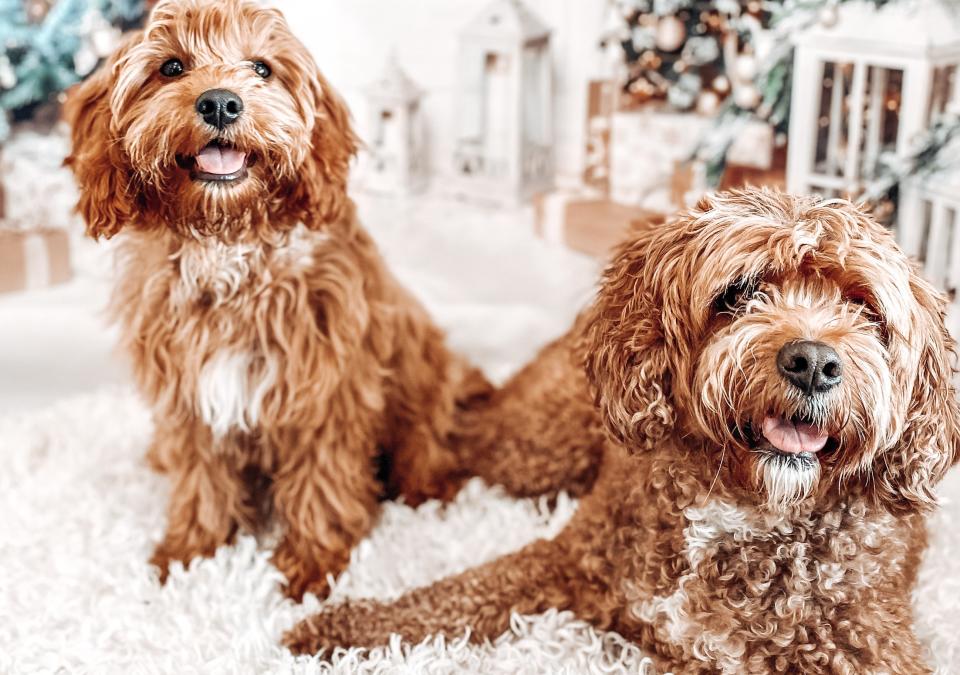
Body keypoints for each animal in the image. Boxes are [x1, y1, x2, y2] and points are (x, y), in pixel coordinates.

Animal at [64, 0, 488, 604]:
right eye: (171, 67)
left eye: (261, 68)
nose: (220, 101)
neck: (229, 247)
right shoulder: (188, 395)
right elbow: (199, 476)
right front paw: (191, 551)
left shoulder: (325, 390)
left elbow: (320, 482)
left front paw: (310, 565)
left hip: (421, 380)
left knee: (425, 444)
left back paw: (430, 486)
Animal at [286, 191, 960, 675]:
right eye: (740, 291)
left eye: (865, 309)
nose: (814, 362)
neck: (739, 509)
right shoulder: (564, 561)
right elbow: (450, 596)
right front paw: (343, 628)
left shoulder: (865, 648)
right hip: (537, 446)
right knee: (466, 436)